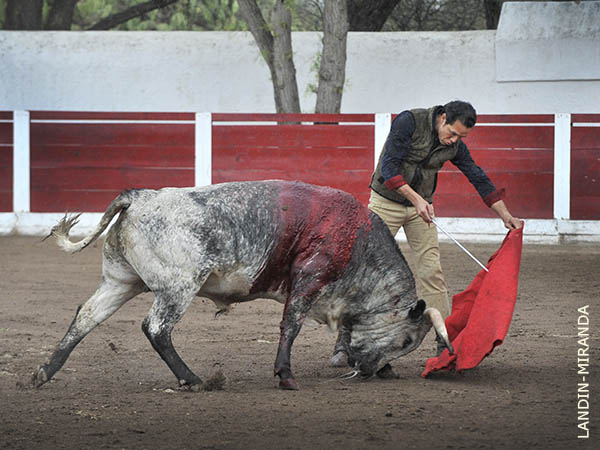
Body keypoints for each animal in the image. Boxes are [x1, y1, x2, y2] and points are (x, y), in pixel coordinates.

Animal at [31, 180, 450, 390]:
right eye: (406, 341)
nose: (369, 369)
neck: (356, 242)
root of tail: (139, 197)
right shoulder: (308, 281)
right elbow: (290, 326)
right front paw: (285, 376)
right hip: (177, 288)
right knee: (156, 328)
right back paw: (192, 379)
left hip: (120, 281)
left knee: (85, 317)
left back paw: (44, 373)